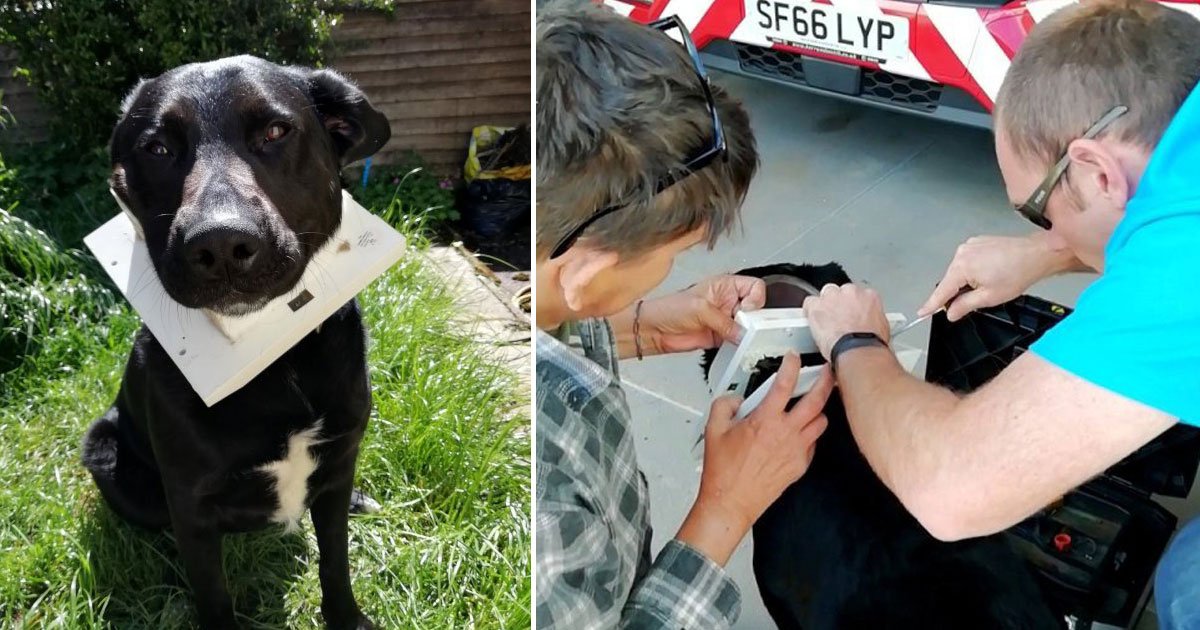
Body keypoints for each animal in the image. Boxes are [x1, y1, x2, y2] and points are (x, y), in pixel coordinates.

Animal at [81, 55, 388, 628]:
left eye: (276, 131)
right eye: (157, 149)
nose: (220, 245)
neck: (276, 366)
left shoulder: (339, 463)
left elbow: (335, 559)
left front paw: (347, 617)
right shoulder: (192, 506)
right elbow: (213, 593)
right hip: (106, 452)